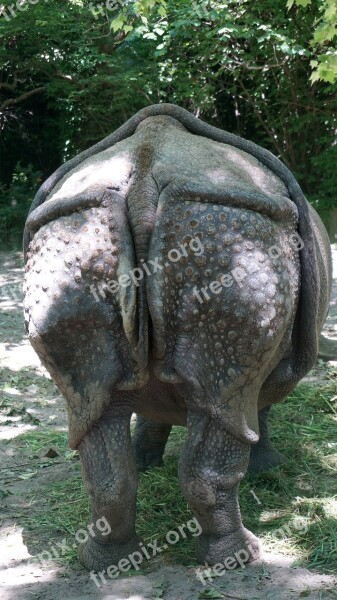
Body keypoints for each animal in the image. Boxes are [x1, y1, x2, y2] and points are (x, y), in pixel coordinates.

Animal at [23, 103, 330, 572]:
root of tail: (145, 171)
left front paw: (147, 459)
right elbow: (254, 413)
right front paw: (266, 466)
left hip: (70, 230)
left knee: (93, 410)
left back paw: (105, 563)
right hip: (233, 232)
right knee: (226, 405)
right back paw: (240, 558)